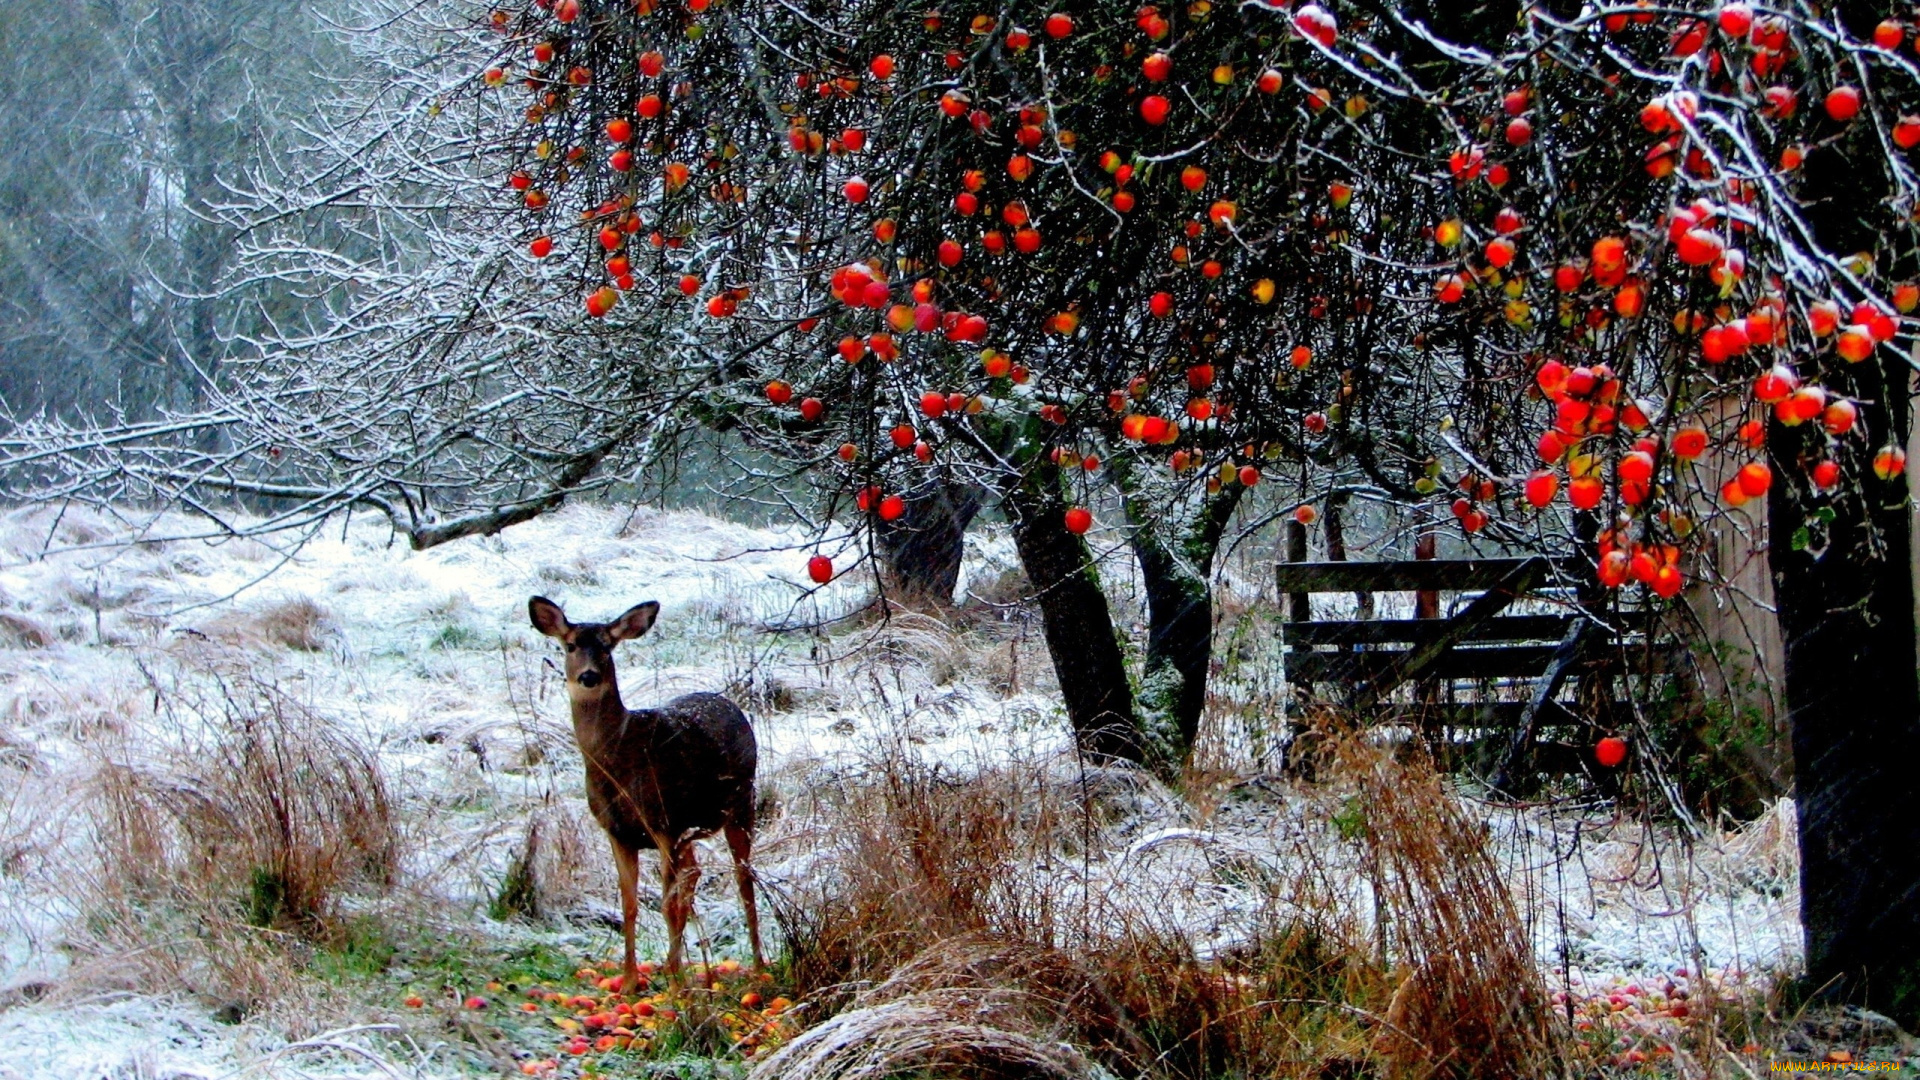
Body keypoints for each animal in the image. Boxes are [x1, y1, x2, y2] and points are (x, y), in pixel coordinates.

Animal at [529, 591, 768, 991]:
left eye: (607, 646)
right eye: (571, 645)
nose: (589, 676)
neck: (617, 761)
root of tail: (727, 702)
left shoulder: (661, 821)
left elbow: (667, 904)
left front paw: (675, 986)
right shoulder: (619, 832)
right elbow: (630, 904)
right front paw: (629, 981)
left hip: (740, 802)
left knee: (743, 879)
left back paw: (758, 966)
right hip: (689, 828)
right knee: (694, 872)